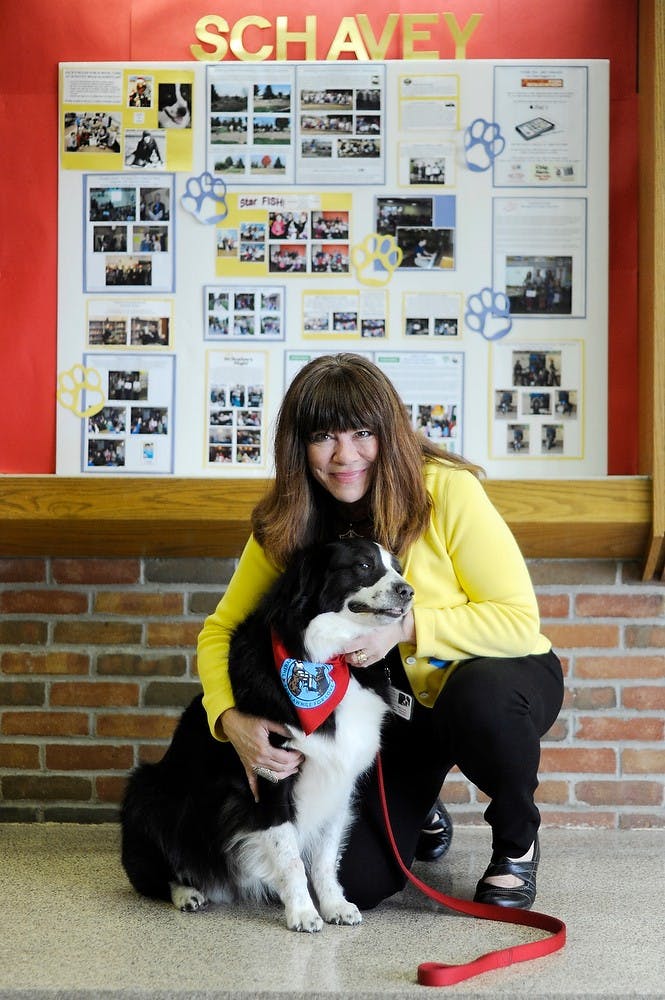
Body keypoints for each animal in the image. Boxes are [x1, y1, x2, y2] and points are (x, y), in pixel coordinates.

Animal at [119, 540, 410, 928]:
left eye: (398, 568)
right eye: (363, 565)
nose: (408, 591)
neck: (328, 660)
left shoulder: (340, 779)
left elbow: (325, 856)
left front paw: (334, 906)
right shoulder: (270, 776)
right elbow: (289, 857)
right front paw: (302, 913)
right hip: (146, 791)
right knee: (154, 873)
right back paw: (187, 893)